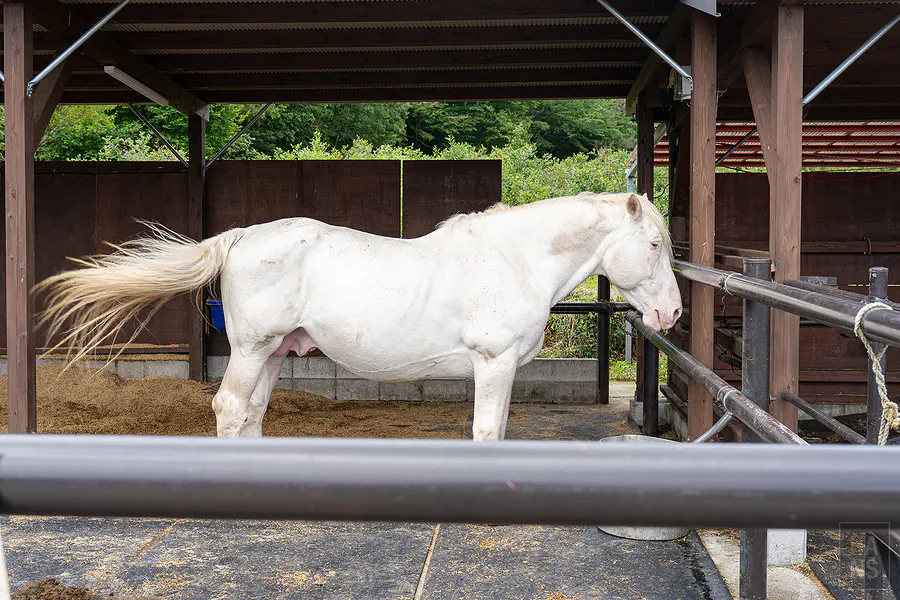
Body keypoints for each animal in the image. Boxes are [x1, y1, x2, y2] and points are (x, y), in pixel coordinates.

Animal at [37, 191, 682, 441]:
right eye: (653, 244)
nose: (671, 311)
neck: (512, 259)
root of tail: (243, 235)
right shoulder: (493, 365)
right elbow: (486, 431)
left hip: (273, 354)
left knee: (253, 413)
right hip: (251, 349)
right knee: (229, 409)